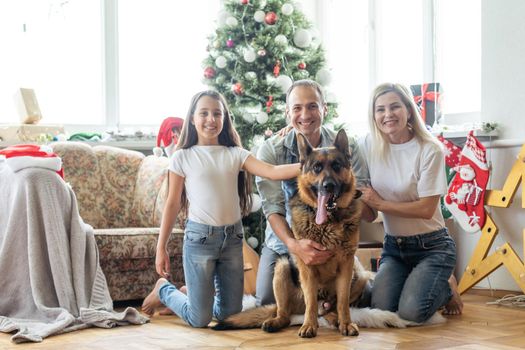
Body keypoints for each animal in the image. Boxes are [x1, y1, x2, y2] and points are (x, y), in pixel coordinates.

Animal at [213, 130, 364, 338]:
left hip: (360, 275)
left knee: (327, 310)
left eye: (336, 166)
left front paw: (346, 323)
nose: (329, 186)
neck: (328, 223)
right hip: (282, 267)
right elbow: (311, 301)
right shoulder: (307, 267)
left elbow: (343, 302)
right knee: (288, 313)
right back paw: (277, 322)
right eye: (317, 168)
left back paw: (335, 320)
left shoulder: (346, 265)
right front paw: (309, 326)